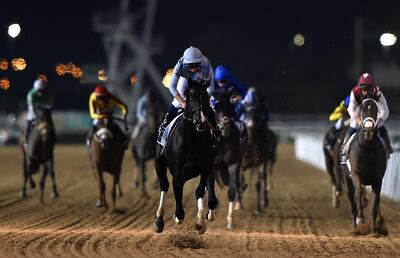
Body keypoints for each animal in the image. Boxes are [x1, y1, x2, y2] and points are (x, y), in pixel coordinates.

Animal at [155, 79, 219, 235]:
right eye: (190, 99)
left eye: (206, 98)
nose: (201, 120)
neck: (192, 141)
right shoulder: (178, 174)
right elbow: (178, 196)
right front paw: (177, 216)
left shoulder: (205, 168)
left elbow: (200, 191)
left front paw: (200, 223)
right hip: (159, 163)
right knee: (164, 185)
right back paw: (159, 221)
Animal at [212, 91, 247, 229]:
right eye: (215, 108)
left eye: (231, 106)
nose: (226, 126)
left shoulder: (234, 163)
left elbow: (232, 188)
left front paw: (230, 221)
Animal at [340, 98, 388, 234]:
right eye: (362, 109)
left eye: (376, 109)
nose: (369, 132)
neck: (367, 149)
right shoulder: (356, 174)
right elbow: (360, 192)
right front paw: (360, 218)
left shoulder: (377, 179)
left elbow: (375, 201)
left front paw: (374, 231)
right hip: (347, 179)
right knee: (353, 200)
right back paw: (355, 228)